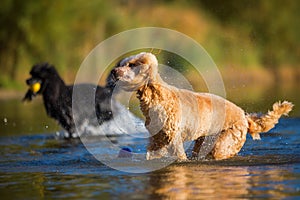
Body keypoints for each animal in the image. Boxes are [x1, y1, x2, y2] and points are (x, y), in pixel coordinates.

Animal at [109, 52, 292, 160]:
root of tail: (244, 116)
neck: (157, 95)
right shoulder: (157, 138)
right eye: (123, 63)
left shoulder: (174, 137)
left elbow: (180, 156)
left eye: (132, 65)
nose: (113, 71)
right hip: (204, 141)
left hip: (224, 143)